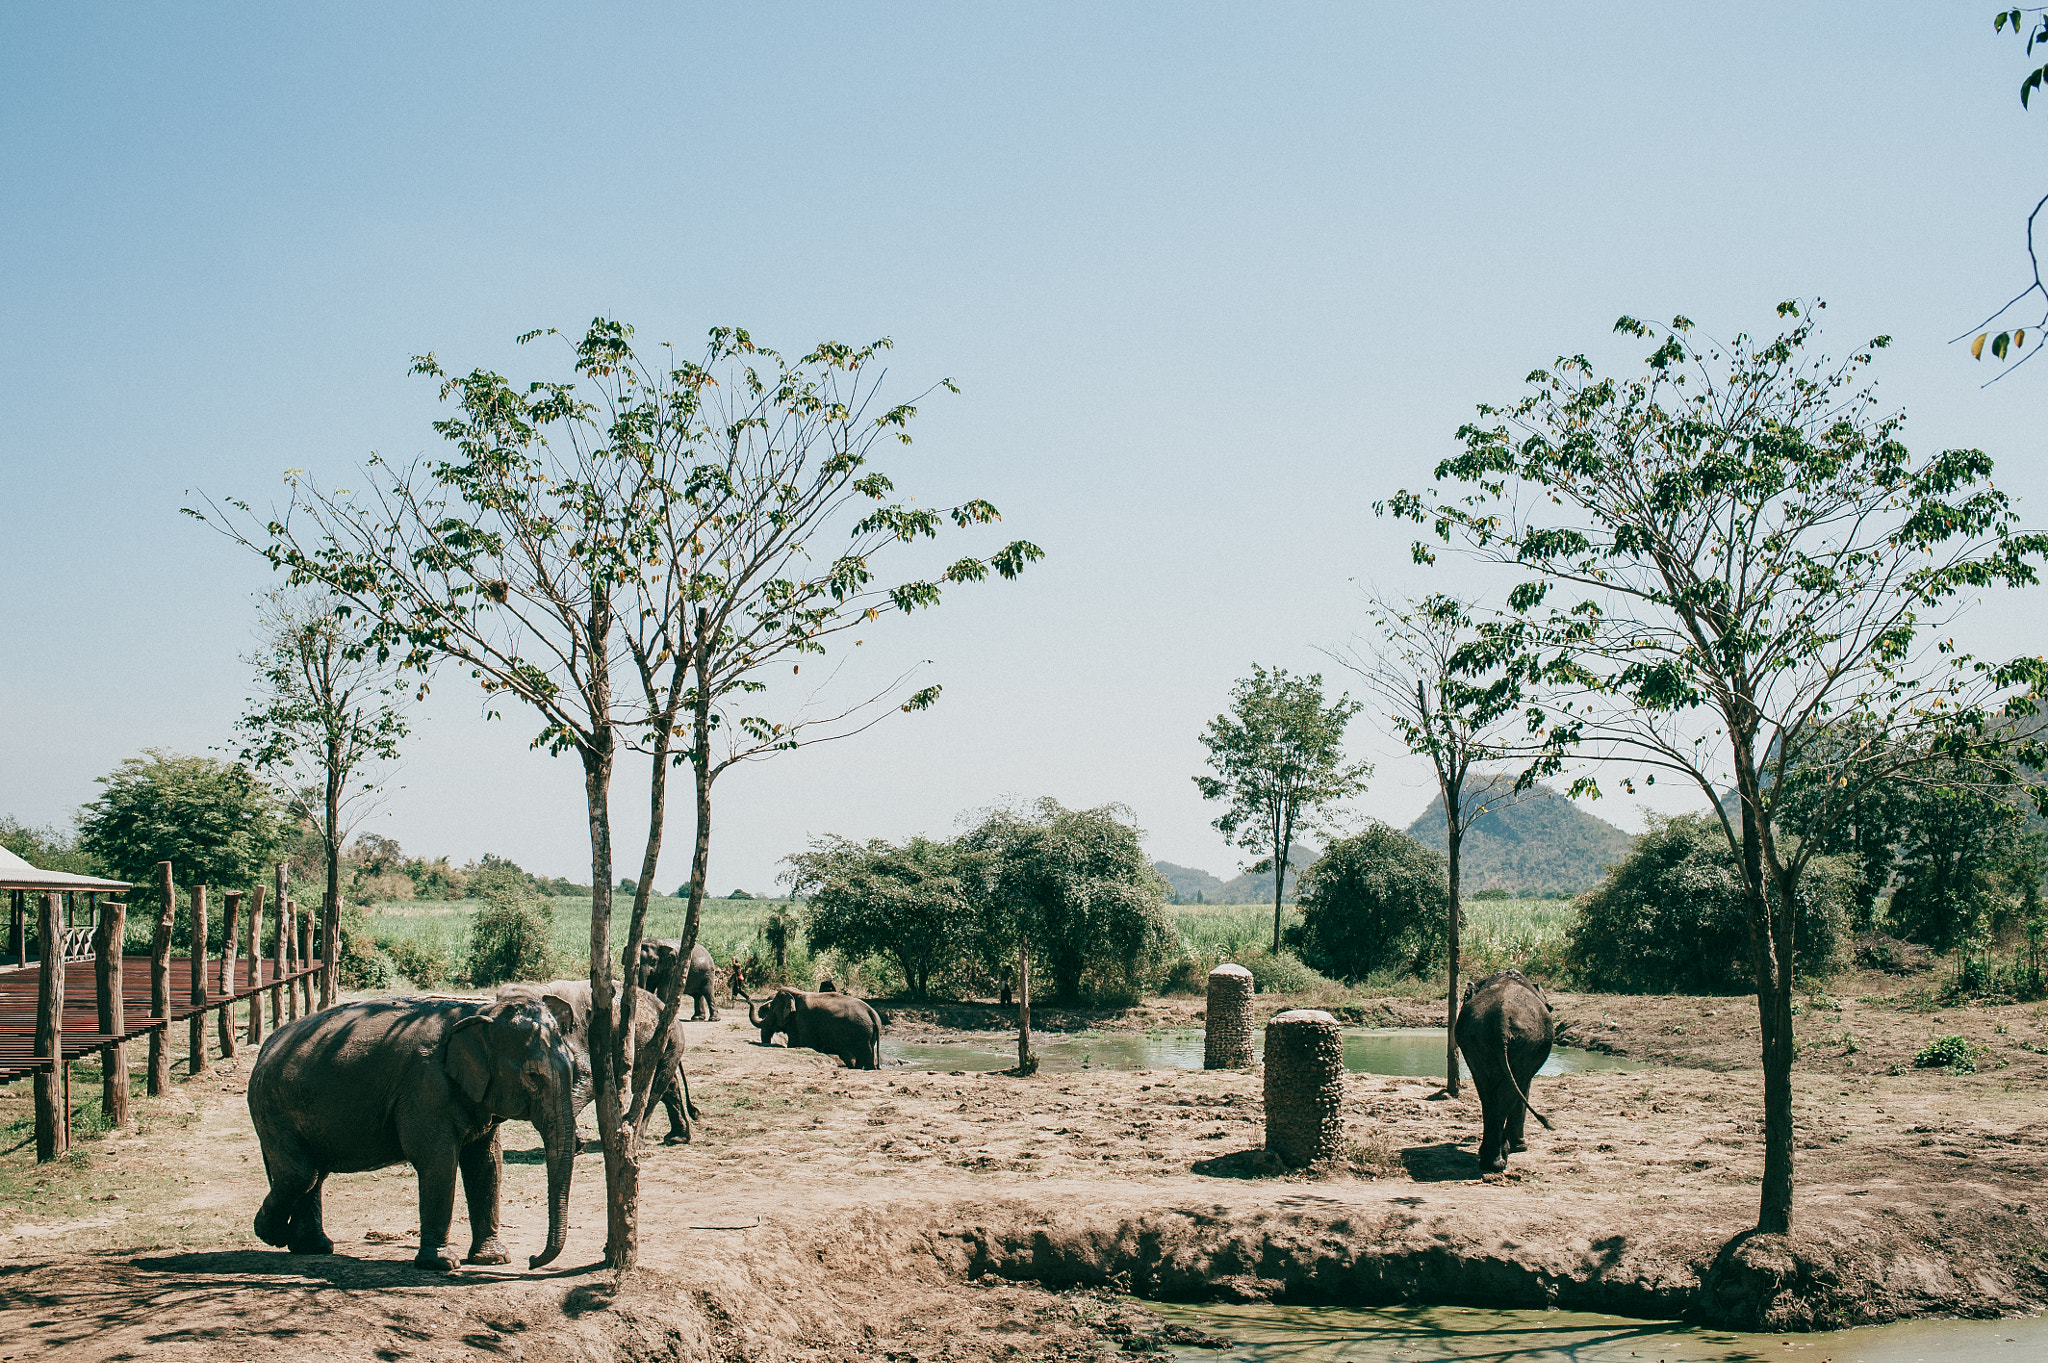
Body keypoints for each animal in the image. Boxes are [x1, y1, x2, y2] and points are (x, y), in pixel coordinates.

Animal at [253, 994, 585, 1268]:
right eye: (532, 1076)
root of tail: (267, 1045)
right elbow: (438, 1160)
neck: (479, 1012)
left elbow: (487, 1164)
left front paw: (494, 1259)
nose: (531, 1260)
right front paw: (443, 1264)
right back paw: (273, 1235)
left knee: (312, 1175)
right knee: (300, 1173)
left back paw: (313, 1247)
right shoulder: (425, 1086)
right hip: (272, 1108)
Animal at [499, 978, 700, 1137]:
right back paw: (676, 1138)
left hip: (670, 1039)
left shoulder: (579, 1034)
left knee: (656, 1086)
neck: (541, 989)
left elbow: (589, 1080)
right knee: (668, 1085)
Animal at [749, 982, 884, 1064]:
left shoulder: (804, 1020)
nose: (749, 1001)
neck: (797, 993)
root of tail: (872, 1013)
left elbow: (803, 1043)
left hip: (863, 1034)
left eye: (772, 1011)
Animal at [1449, 965, 1556, 1170]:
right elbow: (1524, 1087)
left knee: (1487, 1093)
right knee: (1511, 1089)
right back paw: (1499, 1160)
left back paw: (1489, 1160)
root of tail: (1502, 1021)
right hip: (1527, 1042)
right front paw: (1520, 1148)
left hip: (1477, 1038)